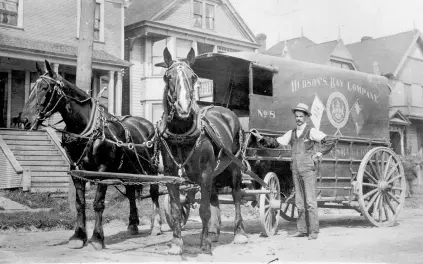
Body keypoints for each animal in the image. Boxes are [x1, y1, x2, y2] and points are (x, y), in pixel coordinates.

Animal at [21, 60, 164, 251]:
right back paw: (133, 224)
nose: (24, 120)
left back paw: (156, 226)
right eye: (31, 87)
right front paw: (78, 236)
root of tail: (147, 124)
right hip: (128, 170)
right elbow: (80, 204)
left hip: (151, 168)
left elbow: (98, 204)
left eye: (45, 88)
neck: (85, 131)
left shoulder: (102, 171)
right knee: (131, 192)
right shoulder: (76, 171)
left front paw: (97, 238)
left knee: (155, 191)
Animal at [159, 47, 248, 254]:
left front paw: (205, 244)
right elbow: (176, 209)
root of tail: (226, 111)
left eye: (193, 77)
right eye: (167, 77)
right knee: (214, 197)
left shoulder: (206, 173)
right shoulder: (170, 175)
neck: (181, 134)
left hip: (234, 165)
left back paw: (238, 233)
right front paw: (176, 242)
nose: (183, 108)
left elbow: (204, 210)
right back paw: (214, 232)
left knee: (236, 195)